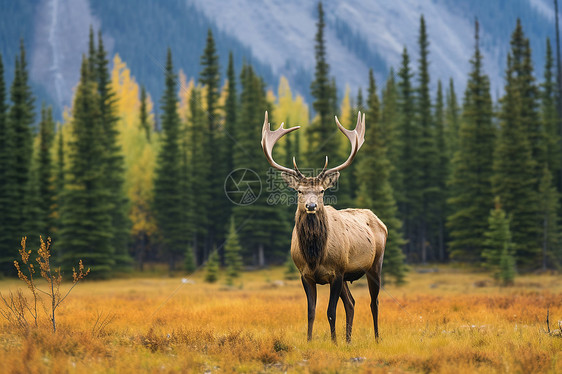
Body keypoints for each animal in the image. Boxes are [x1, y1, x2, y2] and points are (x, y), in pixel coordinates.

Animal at [262, 112, 384, 344]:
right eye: (300, 191)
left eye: (321, 191)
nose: (311, 206)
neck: (314, 255)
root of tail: (378, 220)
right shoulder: (305, 274)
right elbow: (311, 311)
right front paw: (310, 341)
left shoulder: (336, 273)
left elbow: (330, 311)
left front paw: (334, 342)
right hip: (347, 276)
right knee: (352, 303)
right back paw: (348, 340)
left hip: (375, 264)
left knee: (374, 302)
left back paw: (376, 338)